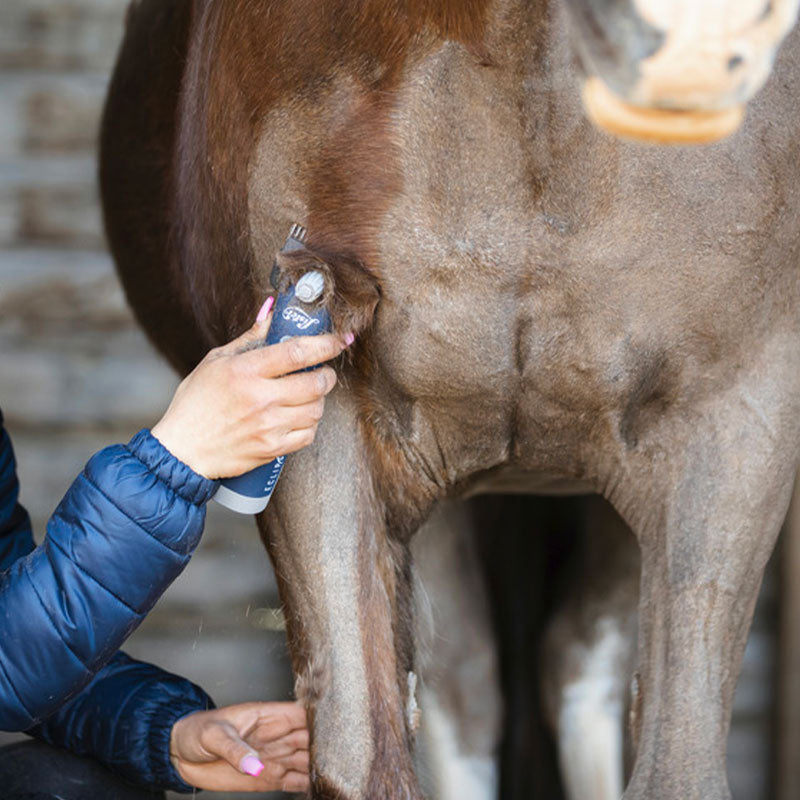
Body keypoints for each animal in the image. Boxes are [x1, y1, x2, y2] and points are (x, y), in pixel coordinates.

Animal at [100, 2, 800, 798]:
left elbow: (678, 772)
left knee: (575, 664)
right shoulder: (322, 429)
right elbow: (362, 755)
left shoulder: (738, 424)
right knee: (468, 690)